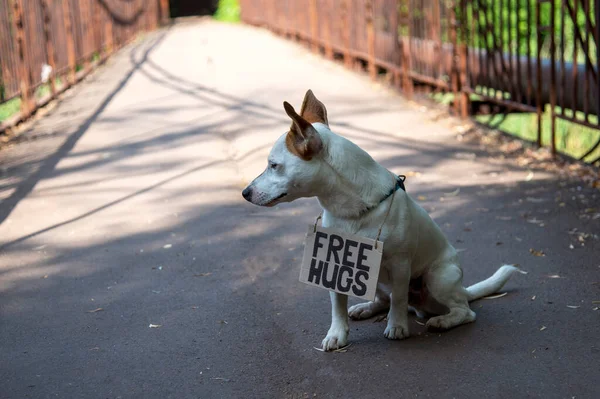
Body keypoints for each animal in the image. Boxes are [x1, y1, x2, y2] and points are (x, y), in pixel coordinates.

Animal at [241, 90, 524, 350]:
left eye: (274, 165)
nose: (245, 193)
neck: (350, 207)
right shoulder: (338, 265)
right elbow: (337, 304)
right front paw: (337, 334)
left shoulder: (400, 264)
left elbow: (398, 300)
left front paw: (397, 326)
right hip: (380, 278)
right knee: (384, 299)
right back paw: (367, 307)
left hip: (439, 279)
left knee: (463, 311)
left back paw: (442, 321)